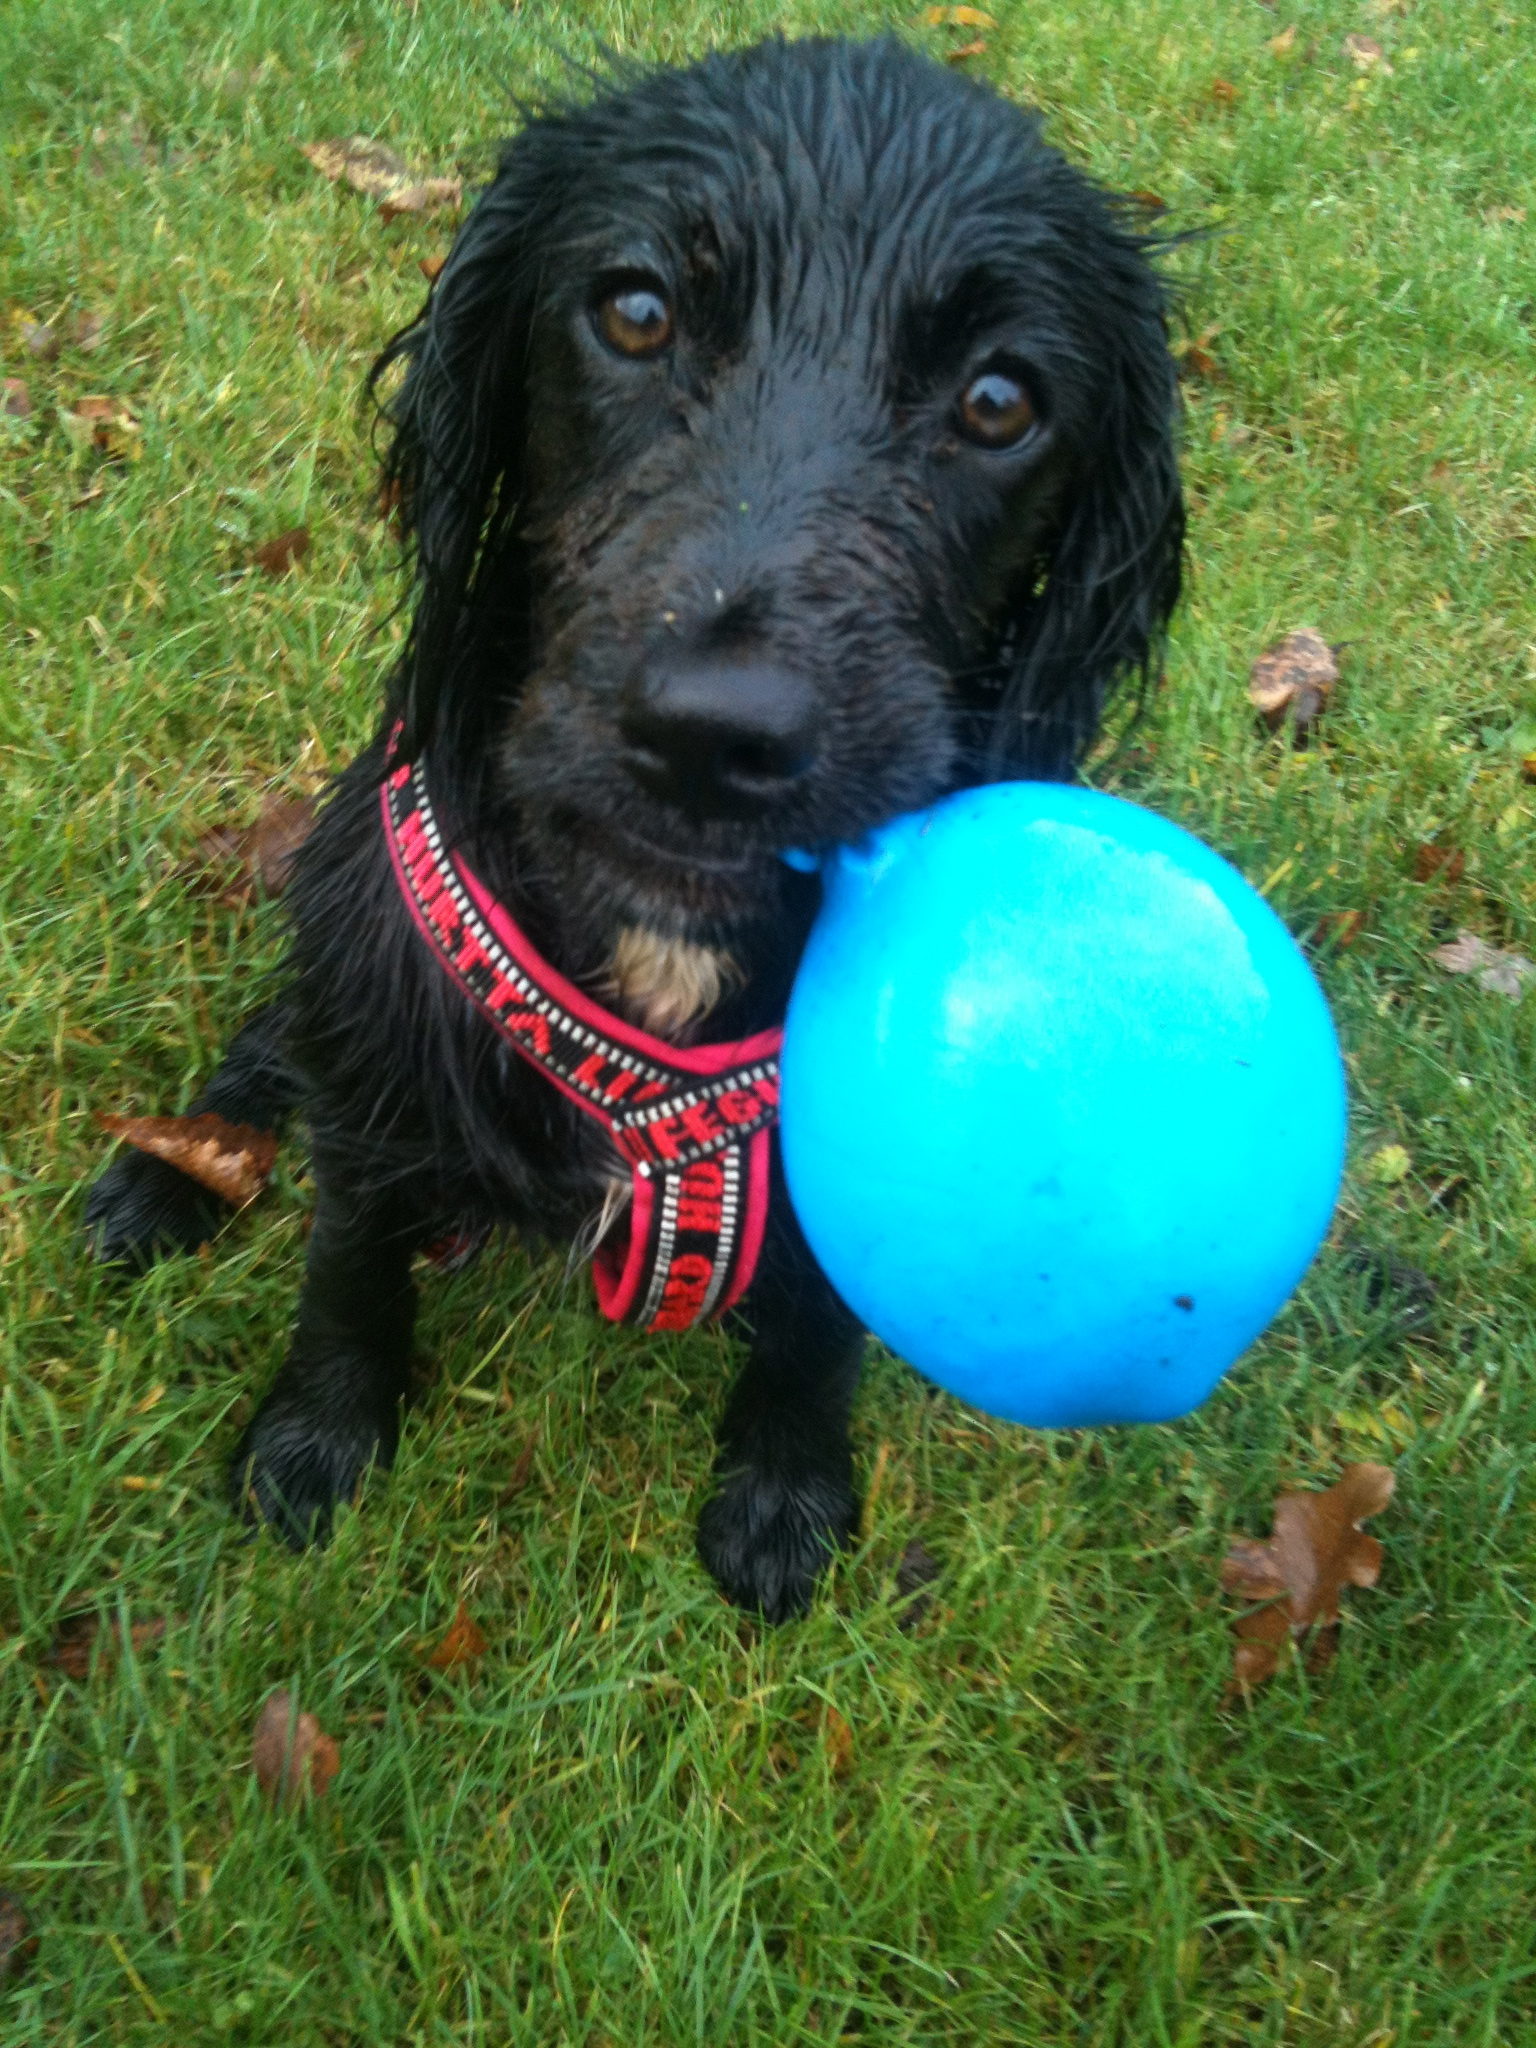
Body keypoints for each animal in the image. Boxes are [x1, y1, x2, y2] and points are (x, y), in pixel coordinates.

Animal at [87, 36, 1187, 1613]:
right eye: (637, 309)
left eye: (1000, 400)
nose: (717, 733)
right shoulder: (381, 1017)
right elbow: (349, 1257)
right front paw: (317, 1443)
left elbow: (819, 1326)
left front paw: (783, 1489)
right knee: (271, 1046)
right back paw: (166, 1172)